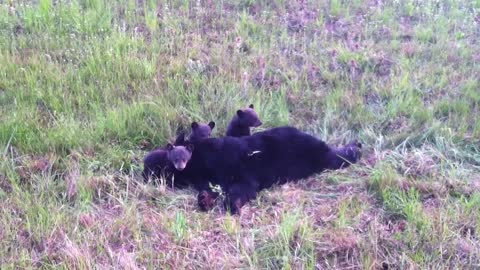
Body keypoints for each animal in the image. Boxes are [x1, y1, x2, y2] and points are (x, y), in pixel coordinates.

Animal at [169, 126, 360, 215]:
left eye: (175, 159)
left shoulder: (240, 170)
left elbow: (241, 188)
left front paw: (232, 206)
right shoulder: (212, 178)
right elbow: (211, 189)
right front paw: (204, 200)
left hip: (310, 151)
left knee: (334, 157)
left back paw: (356, 147)